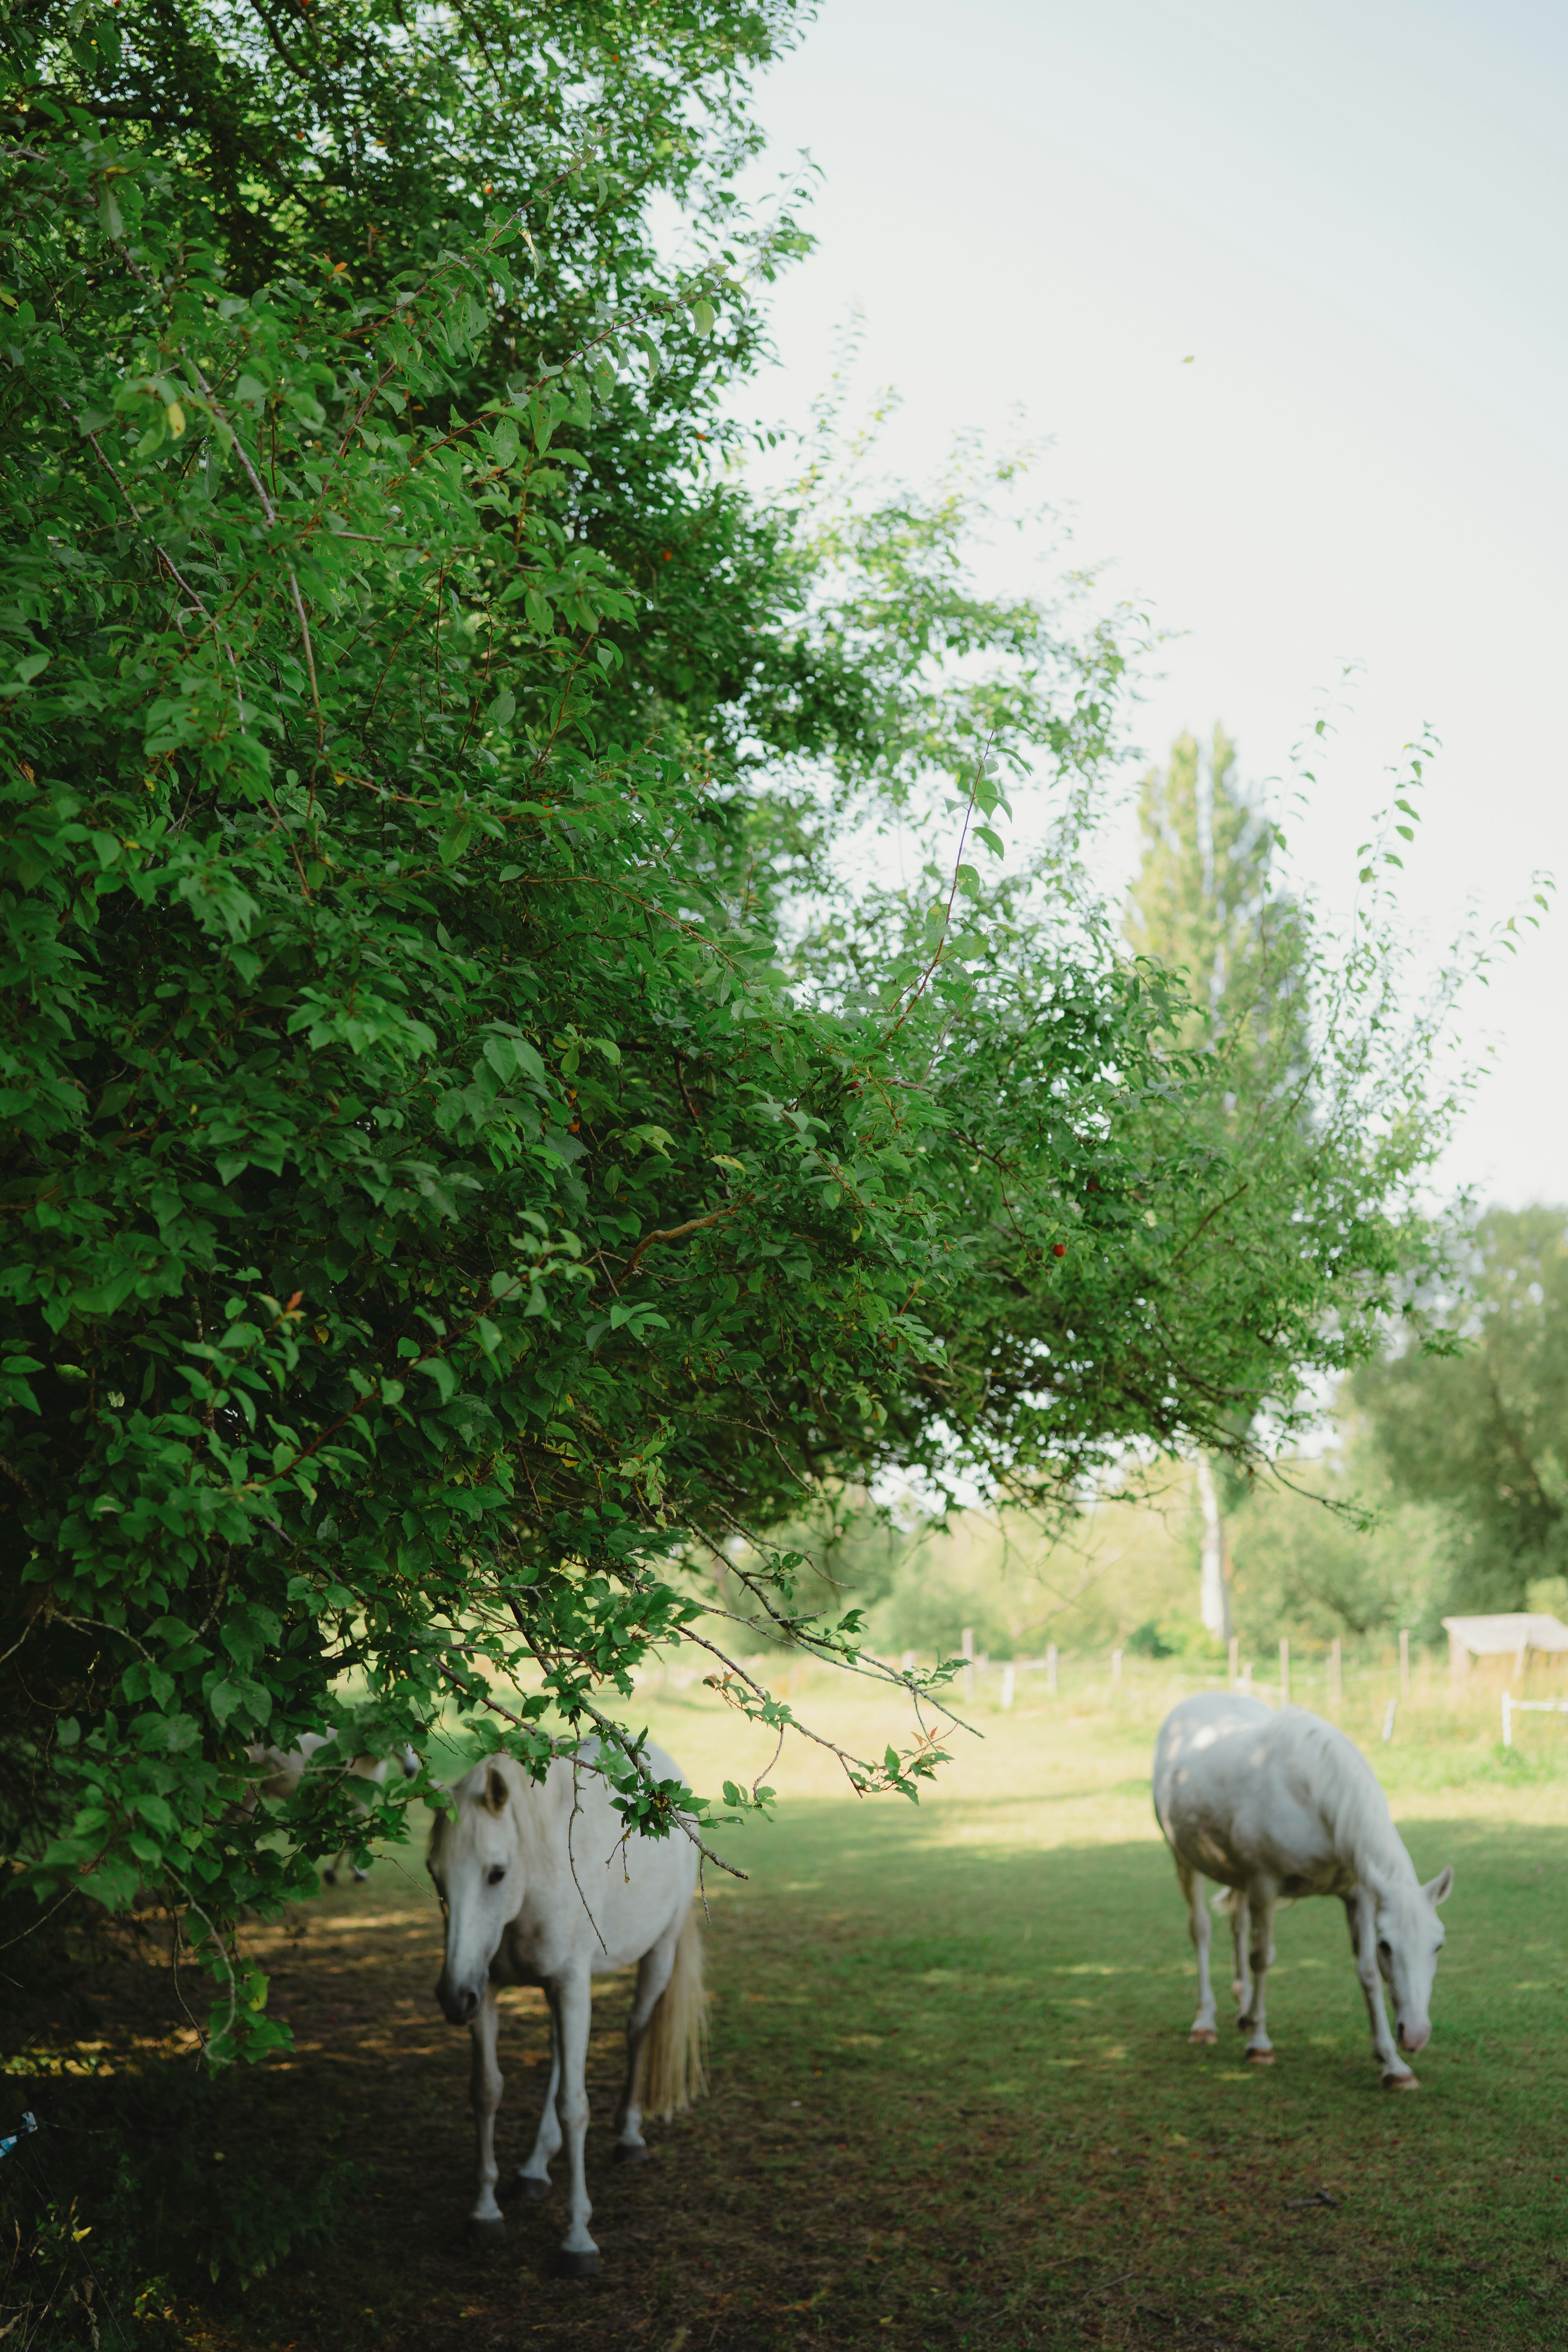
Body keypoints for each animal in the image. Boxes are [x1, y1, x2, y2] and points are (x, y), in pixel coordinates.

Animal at [245, 1732, 419, 1882]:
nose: (411, 1771)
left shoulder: (360, 1799)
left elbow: (354, 1833)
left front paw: (355, 1873)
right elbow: (350, 1833)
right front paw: (332, 1873)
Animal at [427, 1743, 706, 2276]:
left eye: (496, 1872)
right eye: (436, 1874)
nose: (453, 1999)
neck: (537, 1874)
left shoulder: (572, 1985)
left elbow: (575, 2107)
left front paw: (578, 2240)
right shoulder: (487, 1988)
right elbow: (487, 2091)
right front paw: (485, 2213)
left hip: (658, 1954)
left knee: (636, 2031)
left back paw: (629, 2137)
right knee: (559, 2055)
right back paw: (536, 2167)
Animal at [1153, 1692, 1453, 2089]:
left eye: (1438, 1946)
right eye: (1387, 1945)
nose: (1416, 2035)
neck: (1311, 1791)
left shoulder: (1359, 1895)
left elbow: (1367, 1973)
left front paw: (1393, 2064)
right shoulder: (1264, 1885)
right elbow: (1263, 1958)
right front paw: (1259, 2045)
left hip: (1236, 1875)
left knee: (1237, 1926)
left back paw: (1244, 2009)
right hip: (1184, 1860)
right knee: (1201, 1931)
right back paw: (1206, 2022)